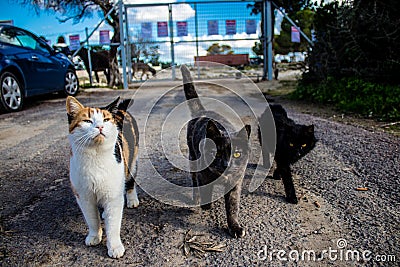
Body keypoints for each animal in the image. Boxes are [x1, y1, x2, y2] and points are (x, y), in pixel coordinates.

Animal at [65, 96, 139, 260]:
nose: (100, 127)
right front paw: (94, 236)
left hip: (131, 162)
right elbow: (91, 218)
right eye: (87, 121)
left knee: (130, 181)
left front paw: (115, 247)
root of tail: (120, 110)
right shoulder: (83, 196)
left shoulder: (113, 195)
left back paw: (131, 200)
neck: (95, 156)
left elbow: (113, 225)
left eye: (105, 120)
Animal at [181, 66, 250, 240]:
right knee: (194, 181)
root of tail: (203, 110)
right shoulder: (203, 175)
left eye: (237, 154)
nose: (226, 164)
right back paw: (196, 198)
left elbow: (232, 208)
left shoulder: (235, 183)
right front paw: (206, 205)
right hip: (193, 159)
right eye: (216, 153)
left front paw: (234, 227)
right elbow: (205, 189)